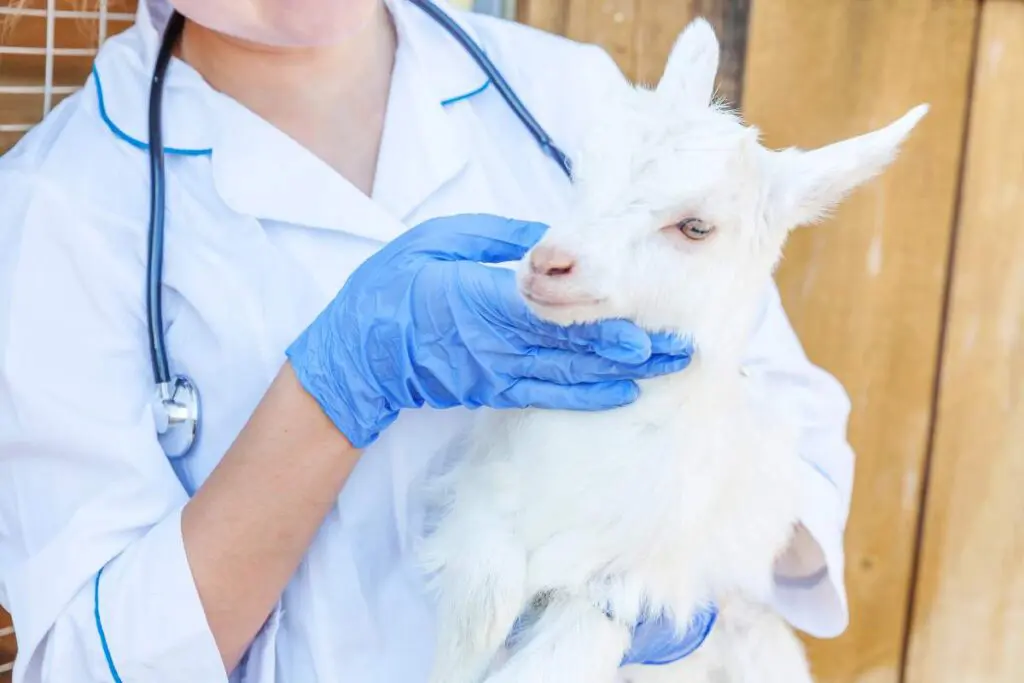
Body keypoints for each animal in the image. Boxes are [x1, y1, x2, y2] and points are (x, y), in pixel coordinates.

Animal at [417, 17, 928, 683]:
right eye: (581, 173)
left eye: (695, 227)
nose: (549, 263)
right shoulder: (485, 512)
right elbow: (477, 615)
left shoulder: (626, 586)